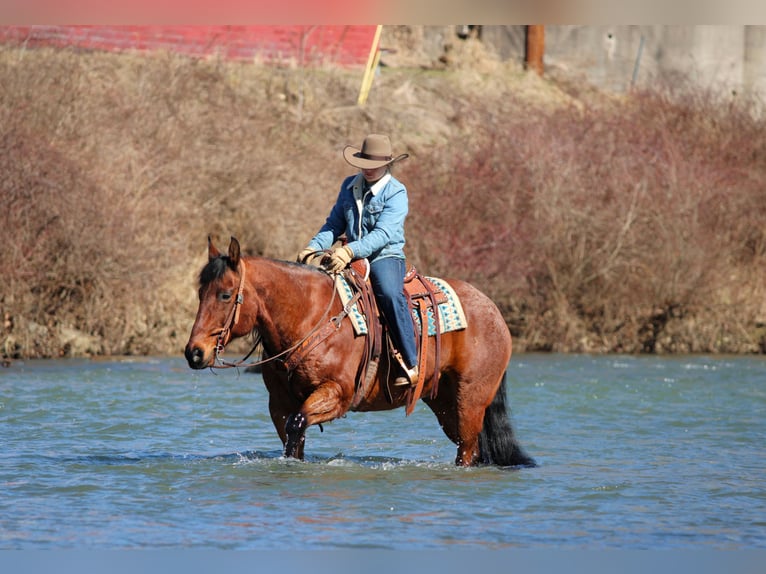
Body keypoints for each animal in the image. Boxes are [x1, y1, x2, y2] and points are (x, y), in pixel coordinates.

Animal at [184, 237, 535, 468]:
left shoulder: (337, 394)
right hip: (447, 406)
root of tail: (493, 311)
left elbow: (298, 424)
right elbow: (292, 438)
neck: (310, 317)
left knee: (467, 451)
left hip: (471, 402)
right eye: (201, 292)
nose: (194, 352)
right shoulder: (279, 404)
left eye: (225, 294)